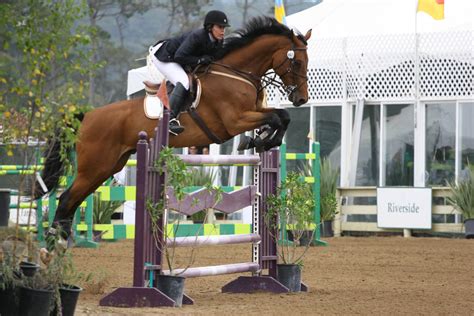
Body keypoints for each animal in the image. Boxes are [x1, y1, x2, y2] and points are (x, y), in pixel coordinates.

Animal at [35, 16, 312, 239]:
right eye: (297, 63)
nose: (301, 99)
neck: (237, 73)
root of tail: (86, 117)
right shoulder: (235, 120)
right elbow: (276, 117)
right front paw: (260, 140)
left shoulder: (252, 113)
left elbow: (282, 116)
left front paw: (261, 140)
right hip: (95, 166)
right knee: (66, 199)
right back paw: (54, 243)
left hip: (108, 166)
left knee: (71, 200)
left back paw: (60, 242)